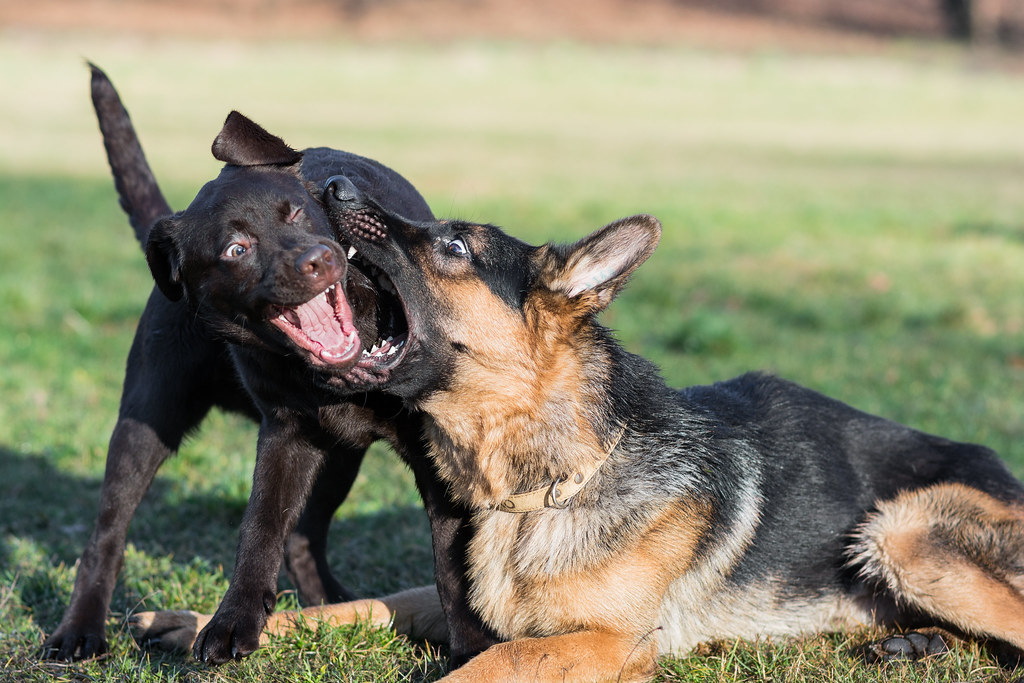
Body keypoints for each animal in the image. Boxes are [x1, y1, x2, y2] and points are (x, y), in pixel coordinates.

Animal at [44, 66, 495, 663]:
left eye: (298, 213)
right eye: (237, 249)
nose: (318, 260)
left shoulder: (433, 449)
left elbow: (452, 560)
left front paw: (473, 647)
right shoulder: (285, 434)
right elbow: (258, 529)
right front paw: (232, 622)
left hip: (338, 456)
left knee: (305, 535)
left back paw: (331, 607)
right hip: (148, 417)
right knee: (107, 535)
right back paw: (80, 629)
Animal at [132, 181, 1024, 679]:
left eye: (452, 243)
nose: (335, 185)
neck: (546, 479)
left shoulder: (609, 642)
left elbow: (481, 667)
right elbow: (357, 605)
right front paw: (198, 623)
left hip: (903, 529)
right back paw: (912, 646)